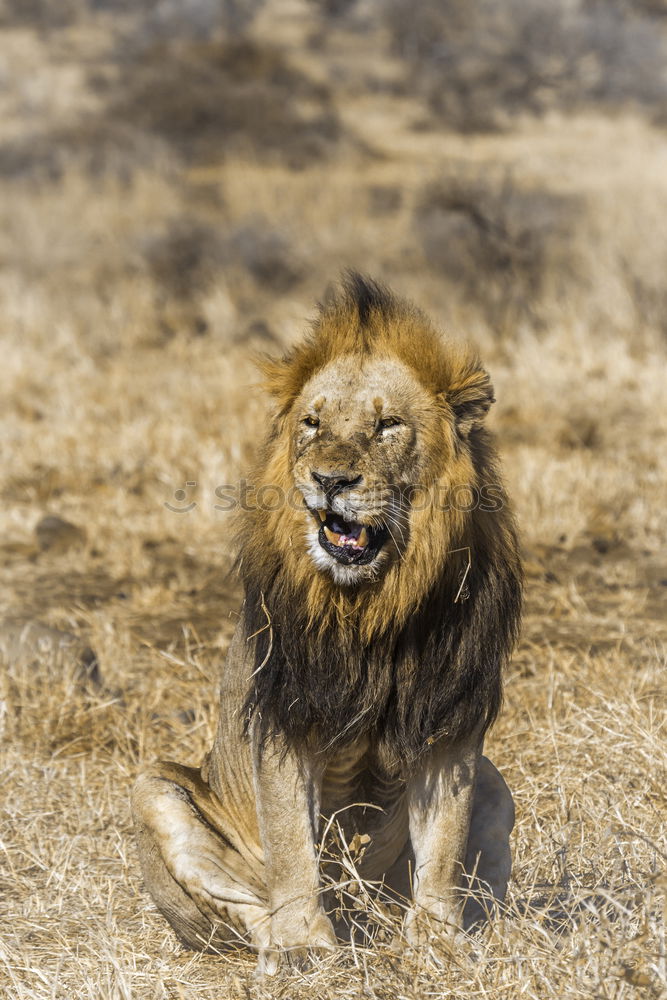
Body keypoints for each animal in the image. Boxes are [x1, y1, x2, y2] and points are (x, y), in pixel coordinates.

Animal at [133, 272, 524, 968]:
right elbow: (291, 845)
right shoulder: (282, 717)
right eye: (312, 423)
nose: (330, 479)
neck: (371, 605)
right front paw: (301, 947)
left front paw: (440, 944)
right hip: (152, 787)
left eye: (388, 424)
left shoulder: (450, 726)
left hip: (496, 784)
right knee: (246, 910)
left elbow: (444, 848)